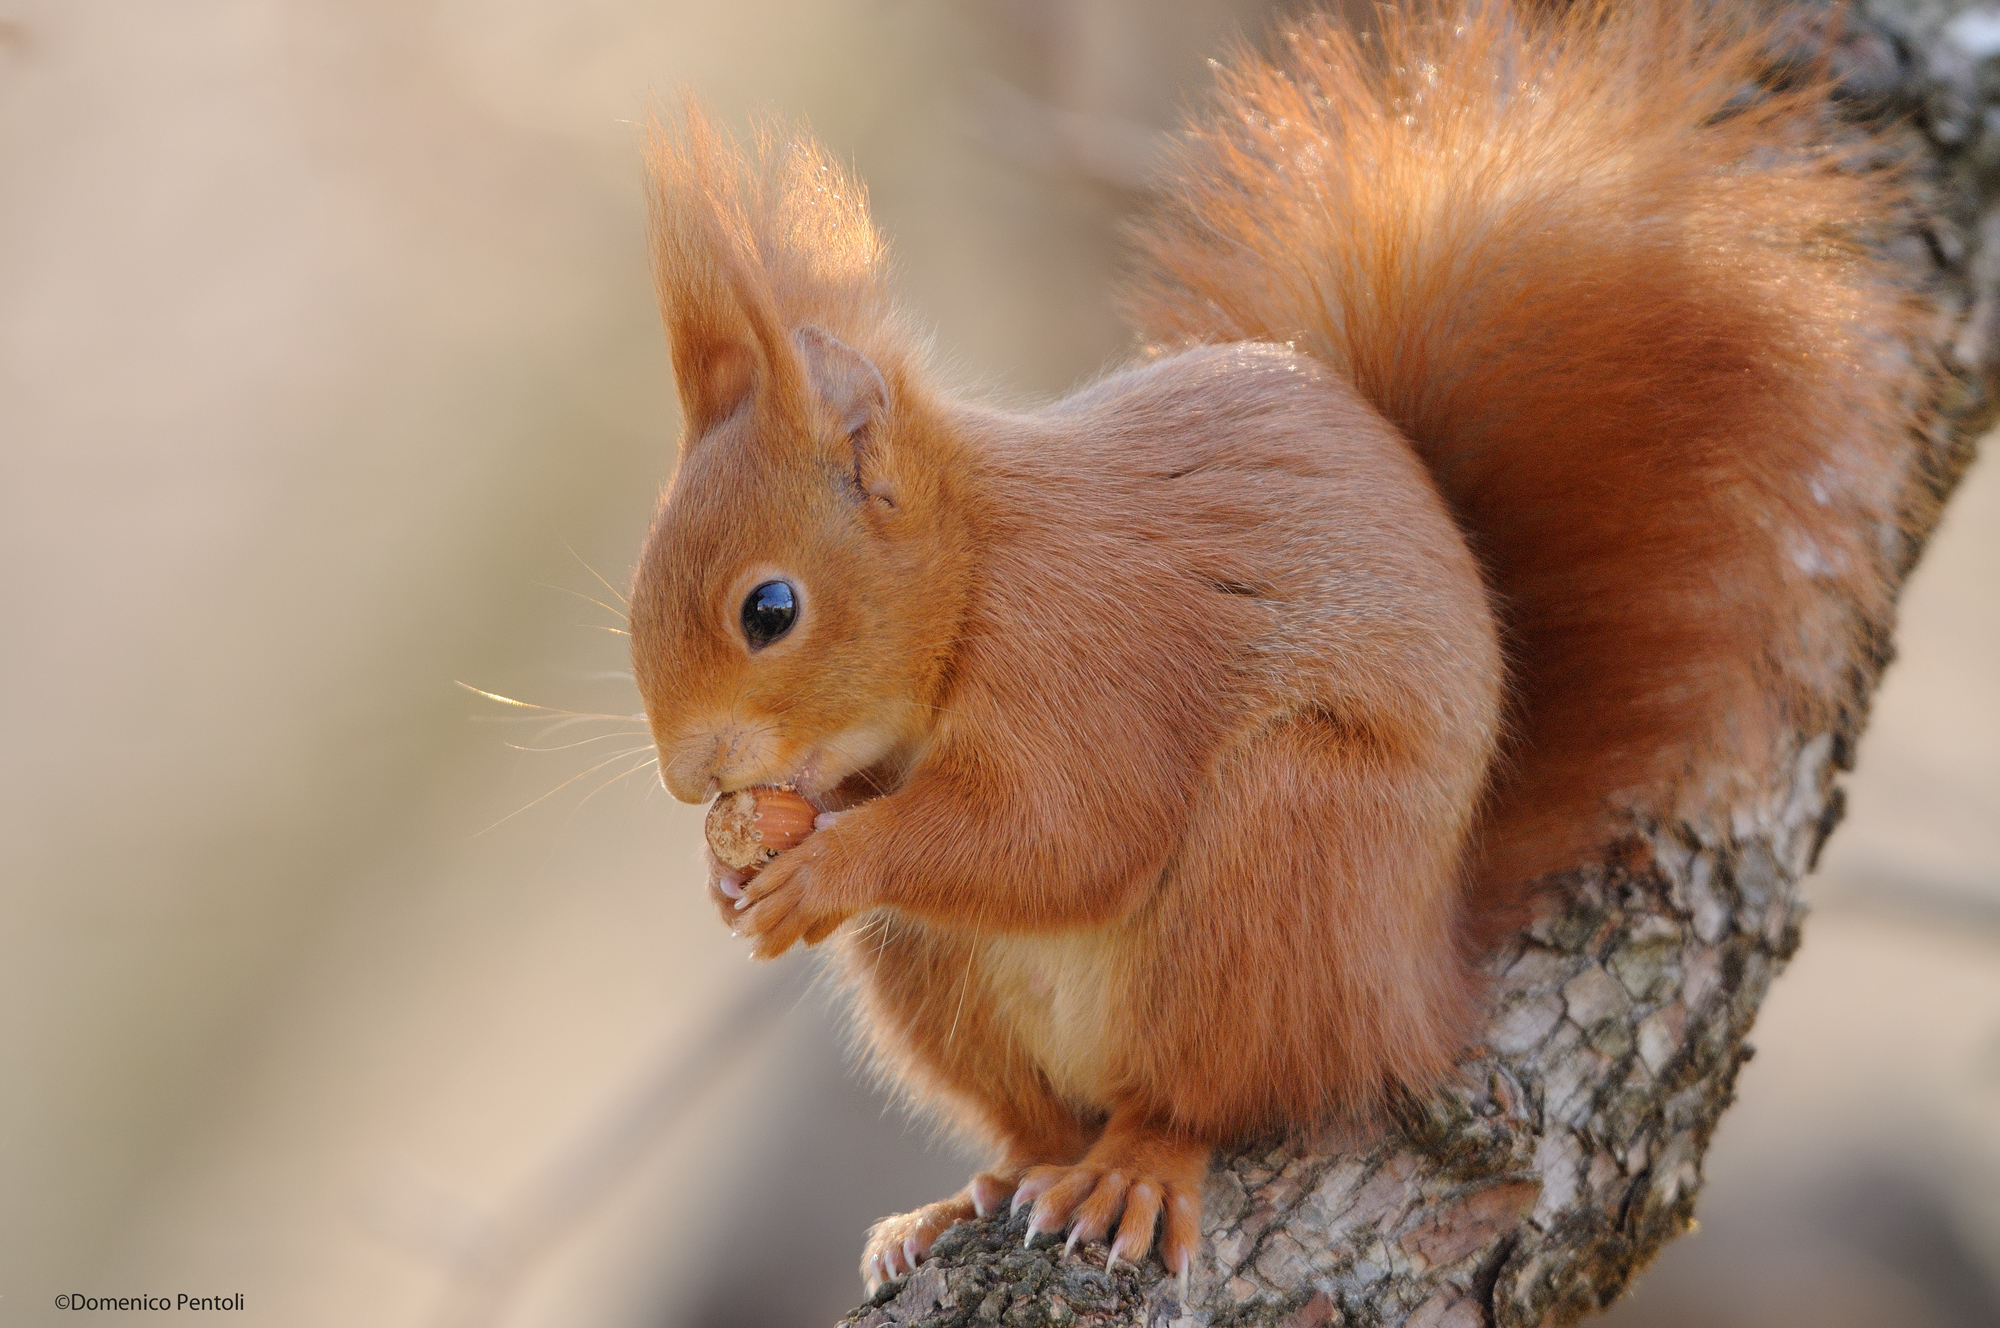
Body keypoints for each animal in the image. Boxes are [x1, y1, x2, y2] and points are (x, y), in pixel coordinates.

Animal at [628, 0, 1911, 1297]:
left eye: (769, 609)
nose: (687, 778)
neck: (976, 569)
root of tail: (1420, 980)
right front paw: (736, 865)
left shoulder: (1084, 650)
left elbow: (1067, 830)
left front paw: (825, 865)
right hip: (943, 976)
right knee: (1034, 1119)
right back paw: (967, 1195)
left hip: (1283, 852)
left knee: (1201, 1094)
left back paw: (1132, 1168)